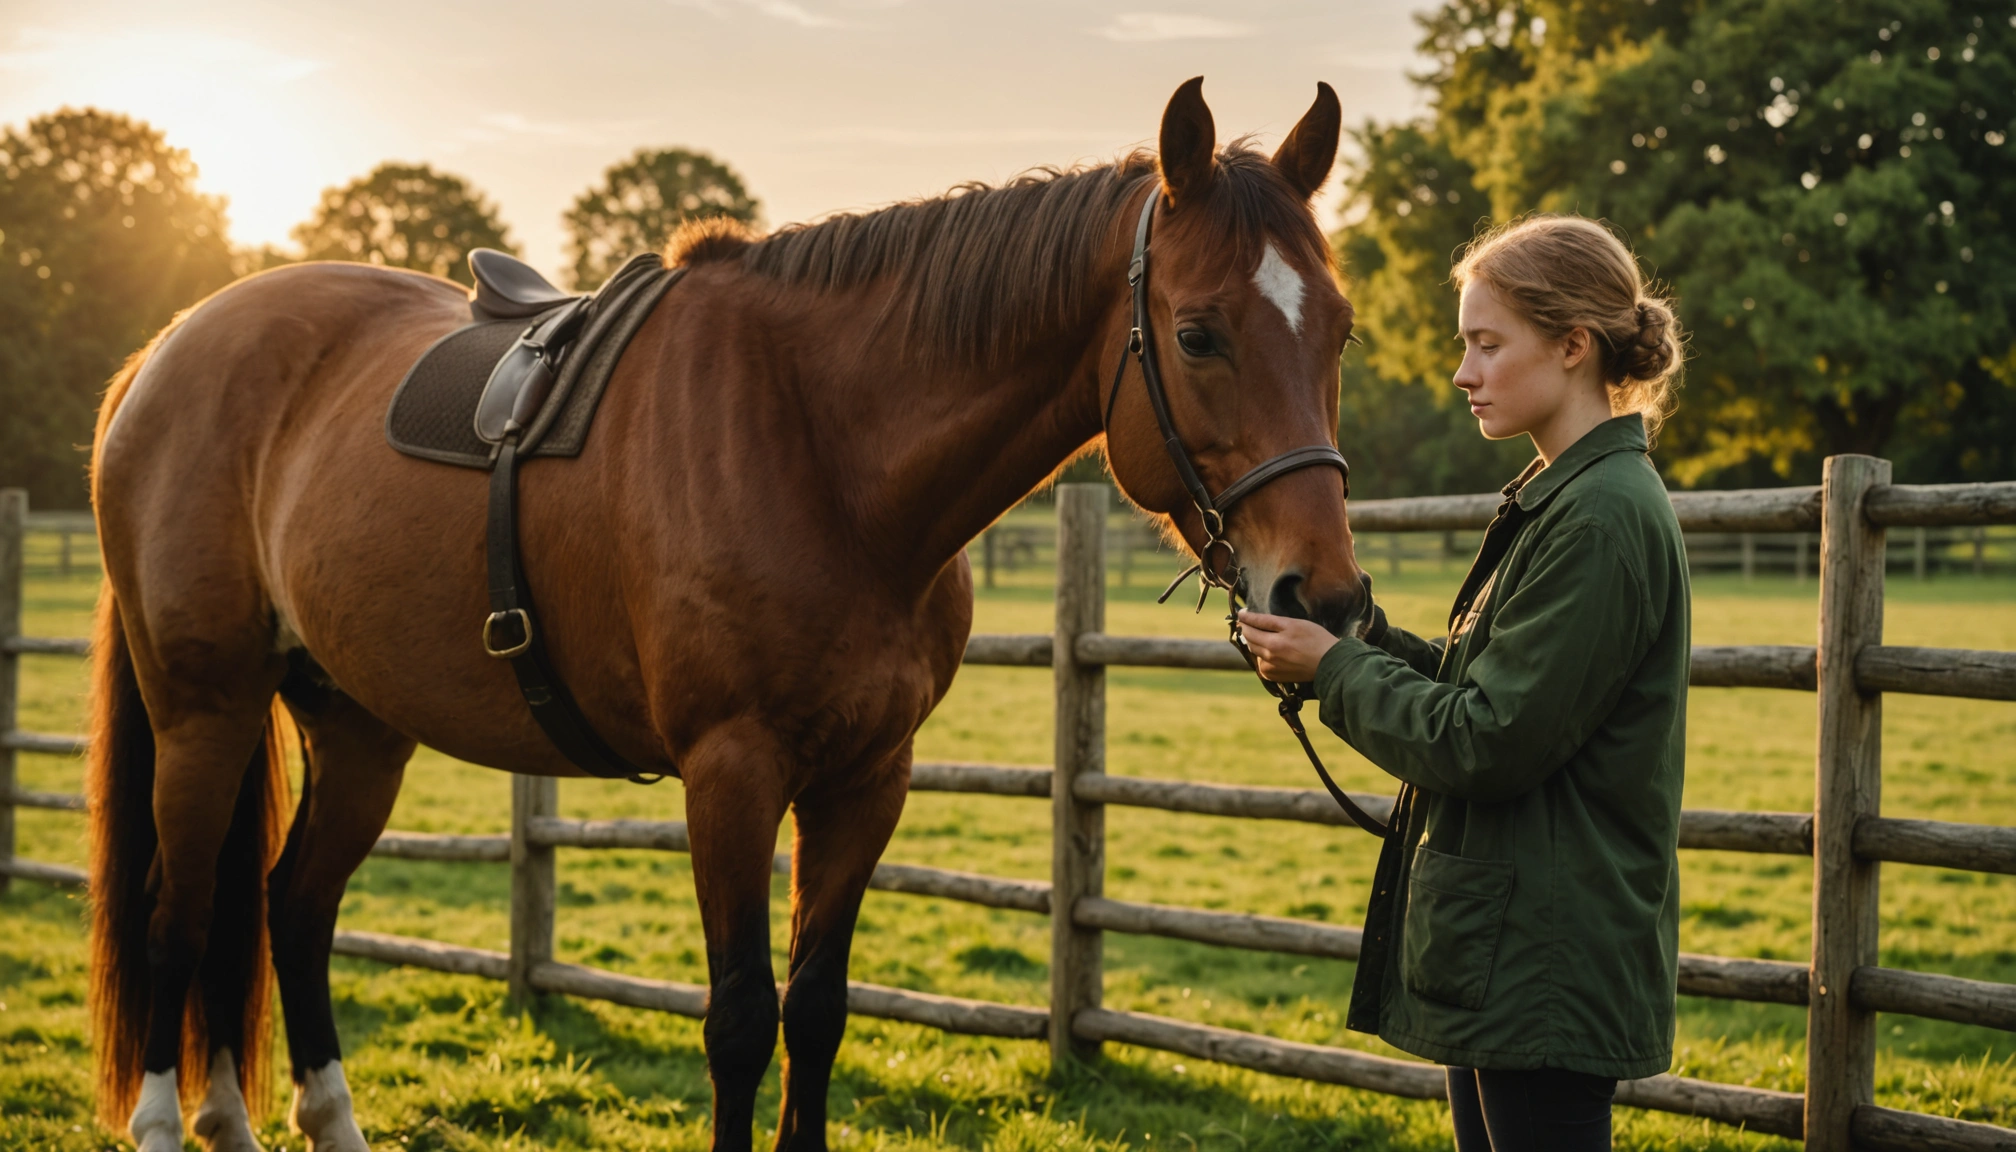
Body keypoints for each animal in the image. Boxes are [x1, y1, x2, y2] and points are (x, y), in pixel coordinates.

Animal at [82, 76, 1370, 1145]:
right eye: (1197, 333)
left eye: (1342, 328)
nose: (1322, 595)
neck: (821, 447)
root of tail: (165, 351)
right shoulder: (731, 772)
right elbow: (743, 1020)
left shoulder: (867, 779)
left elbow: (817, 1009)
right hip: (205, 709)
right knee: (179, 912)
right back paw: (167, 1122)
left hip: (356, 726)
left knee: (286, 910)